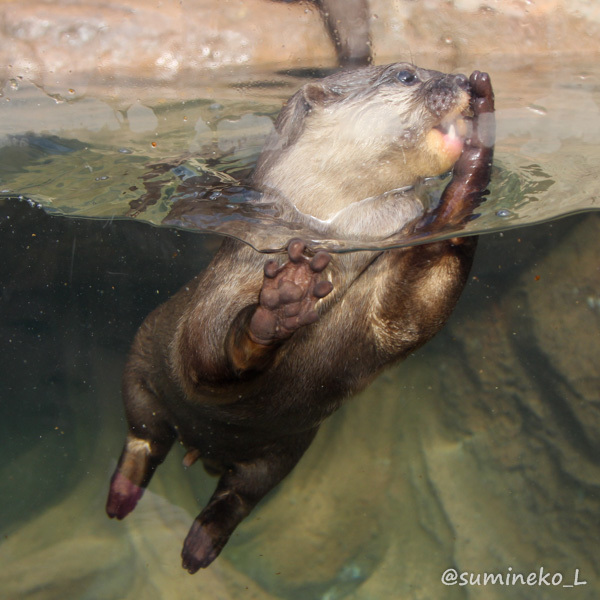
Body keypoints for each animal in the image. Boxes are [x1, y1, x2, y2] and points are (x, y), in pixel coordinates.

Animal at [105, 63, 494, 576]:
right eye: (407, 75)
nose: (462, 82)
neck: (329, 233)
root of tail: (203, 447)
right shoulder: (219, 292)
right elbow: (204, 349)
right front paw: (277, 310)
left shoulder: (381, 307)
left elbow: (414, 306)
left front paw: (476, 156)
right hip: (140, 369)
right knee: (144, 436)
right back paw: (122, 495)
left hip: (283, 452)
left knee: (241, 493)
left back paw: (200, 543)